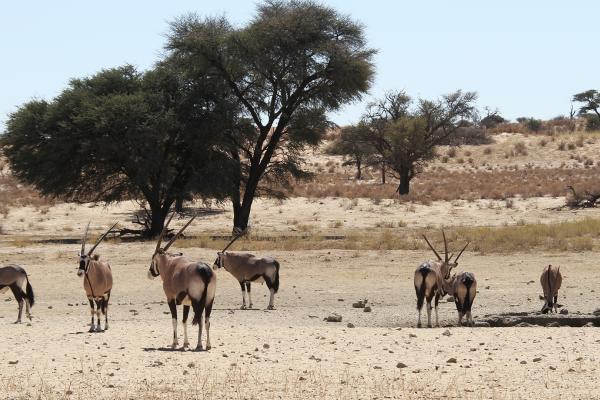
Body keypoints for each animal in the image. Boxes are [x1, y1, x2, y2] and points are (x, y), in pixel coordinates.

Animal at [148, 212, 216, 350]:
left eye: (153, 259)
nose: (149, 273)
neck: (170, 266)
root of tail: (204, 270)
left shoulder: (170, 298)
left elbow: (174, 319)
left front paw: (175, 342)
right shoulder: (186, 303)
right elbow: (184, 321)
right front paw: (185, 343)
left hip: (197, 301)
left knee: (199, 320)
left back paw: (199, 344)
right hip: (209, 301)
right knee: (206, 320)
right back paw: (207, 345)